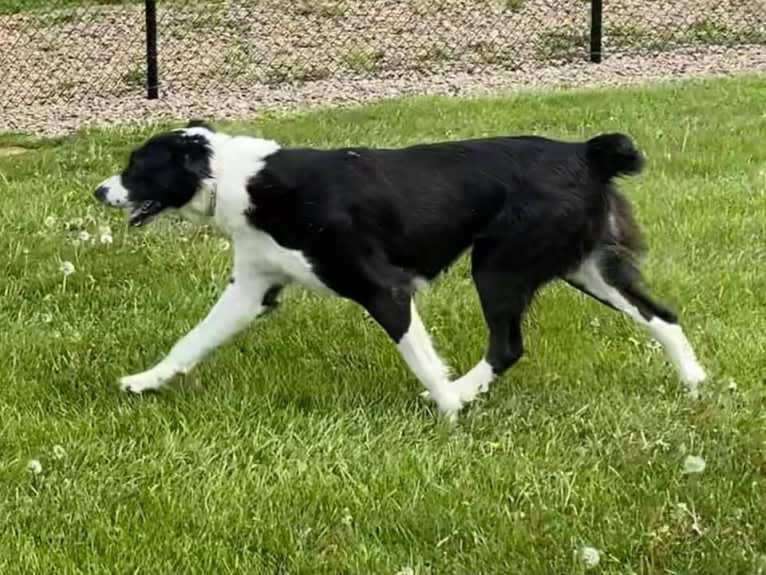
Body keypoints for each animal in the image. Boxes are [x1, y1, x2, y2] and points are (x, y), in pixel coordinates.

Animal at [94, 122, 708, 418]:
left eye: (137, 168)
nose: (99, 190)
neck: (242, 180)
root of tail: (587, 151)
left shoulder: (383, 289)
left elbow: (421, 359)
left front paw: (450, 411)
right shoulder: (252, 288)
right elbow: (190, 342)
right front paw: (144, 381)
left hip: (499, 267)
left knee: (507, 346)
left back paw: (463, 393)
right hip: (586, 267)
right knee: (662, 316)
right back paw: (696, 384)